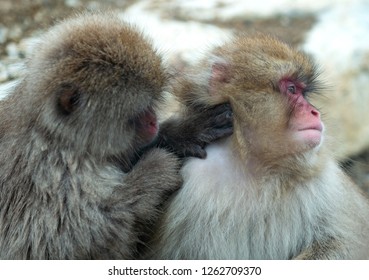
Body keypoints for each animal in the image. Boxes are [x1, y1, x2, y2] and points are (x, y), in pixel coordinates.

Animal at [0, 12, 230, 260]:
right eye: (139, 112)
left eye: (152, 105)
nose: (153, 122)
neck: (64, 141)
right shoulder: (52, 175)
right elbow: (62, 244)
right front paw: (155, 169)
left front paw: (184, 132)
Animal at [147, 34, 369, 260]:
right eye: (291, 89)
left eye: (303, 93)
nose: (314, 112)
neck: (254, 167)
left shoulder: (327, 183)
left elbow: (343, 243)